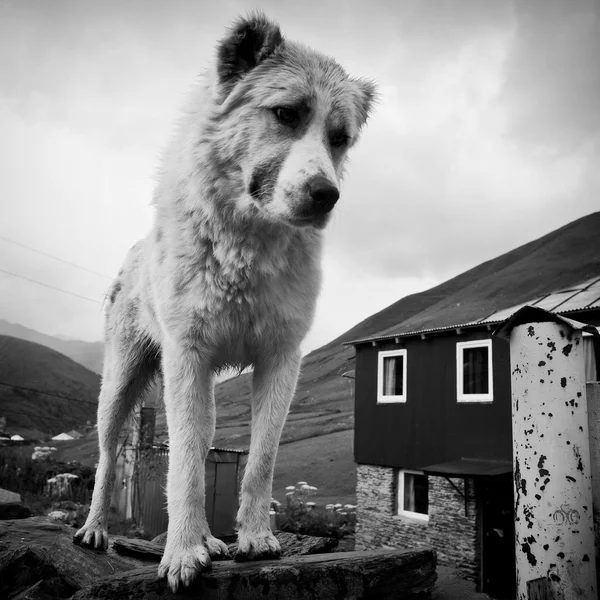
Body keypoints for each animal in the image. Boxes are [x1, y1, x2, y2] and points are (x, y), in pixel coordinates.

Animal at [74, 10, 376, 592]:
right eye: (286, 113)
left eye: (340, 138)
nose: (327, 195)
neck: (248, 247)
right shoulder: (188, 356)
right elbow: (185, 469)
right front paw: (182, 552)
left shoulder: (281, 359)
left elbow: (259, 460)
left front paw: (252, 538)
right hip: (120, 385)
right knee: (106, 456)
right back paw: (97, 528)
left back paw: (212, 539)